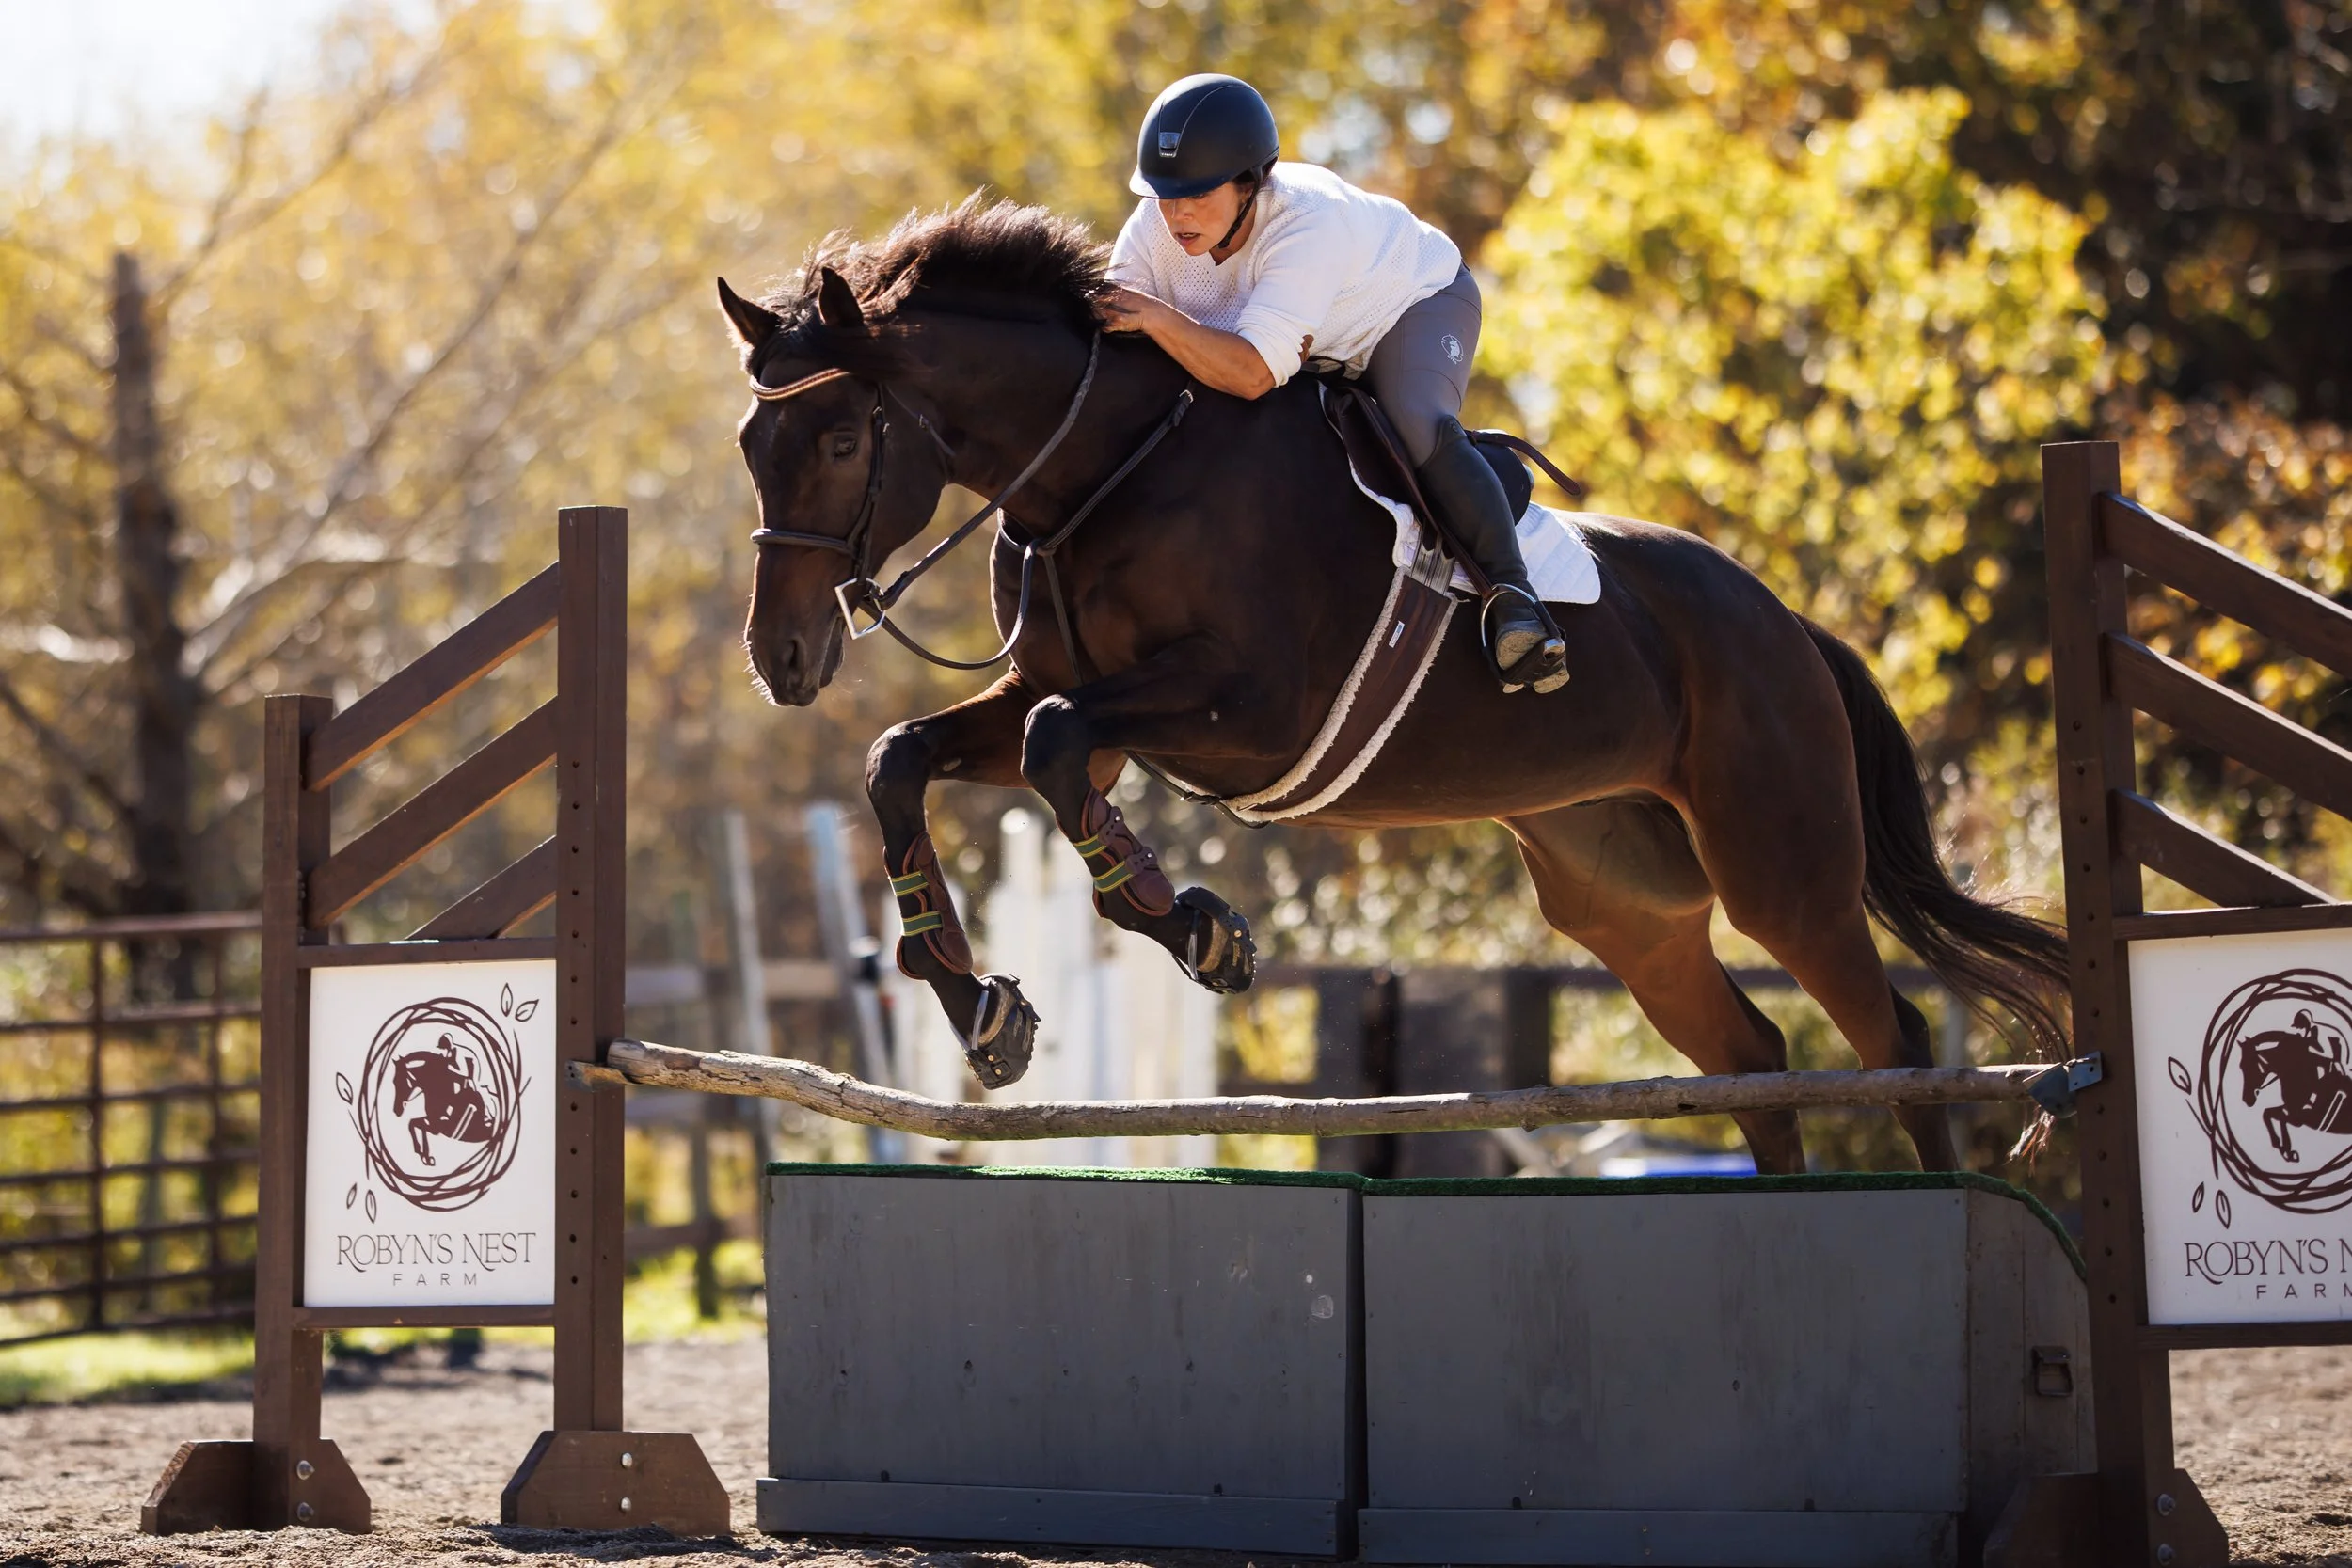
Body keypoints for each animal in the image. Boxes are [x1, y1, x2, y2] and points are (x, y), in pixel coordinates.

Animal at [392, 1036, 492, 1167]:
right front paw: (422, 1154)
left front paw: (426, 1156)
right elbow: (413, 1123)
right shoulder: (432, 1120)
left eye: (402, 1082)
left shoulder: (439, 1126)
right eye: (394, 1081)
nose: (396, 1110)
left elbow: (419, 1125)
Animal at [716, 198, 2070, 1174]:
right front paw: (979, 1004)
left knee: (1891, 1046)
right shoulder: (1082, 708)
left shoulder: (1245, 709)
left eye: (841, 438)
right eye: (751, 445)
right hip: (1624, 902)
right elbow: (906, 758)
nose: (780, 660)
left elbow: (1055, 747)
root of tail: (1789, 626)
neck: (1108, 468)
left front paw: (1198, 926)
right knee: (1755, 1059)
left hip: (1783, 870)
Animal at [2240, 1011, 2352, 1163]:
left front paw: (2287, 1150)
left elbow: (2278, 1117)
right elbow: (2267, 1113)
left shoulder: (2299, 1117)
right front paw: (2282, 1147)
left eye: (2251, 1066)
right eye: (2241, 1066)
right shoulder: (2290, 1109)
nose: (2247, 1099)